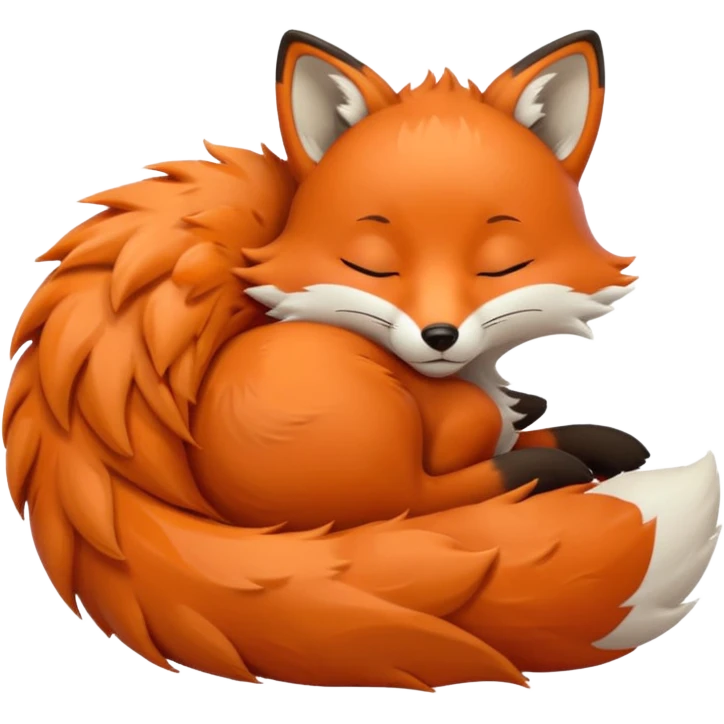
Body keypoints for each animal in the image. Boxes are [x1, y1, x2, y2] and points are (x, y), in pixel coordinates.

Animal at [2, 28, 721, 692]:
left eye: (499, 265)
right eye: (375, 264)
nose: (439, 335)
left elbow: (523, 427)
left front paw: (589, 436)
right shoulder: (452, 434)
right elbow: (467, 468)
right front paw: (550, 455)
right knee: (409, 500)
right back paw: (548, 471)